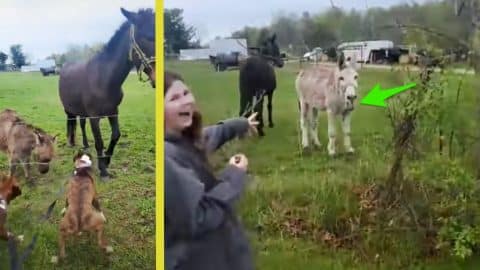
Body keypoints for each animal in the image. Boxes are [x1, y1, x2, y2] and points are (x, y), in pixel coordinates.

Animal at [57, 7, 156, 178]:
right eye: (148, 37)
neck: (103, 78)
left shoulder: (113, 111)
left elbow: (116, 135)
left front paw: (107, 160)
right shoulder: (94, 117)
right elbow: (99, 141)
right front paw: (103, 169)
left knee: (81, 124)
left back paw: (85, 144)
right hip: (69, 110)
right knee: (72, 123)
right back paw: (72, 142)